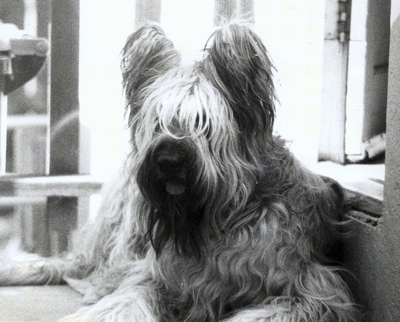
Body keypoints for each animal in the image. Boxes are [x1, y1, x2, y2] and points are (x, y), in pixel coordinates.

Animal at [0, 21, 356, 320]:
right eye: (158, 122)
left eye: (203, 124)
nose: (168, 160)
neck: (210, 221)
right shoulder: (153, 275)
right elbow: (125, 298)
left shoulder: (313, 289)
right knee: (72, 264)